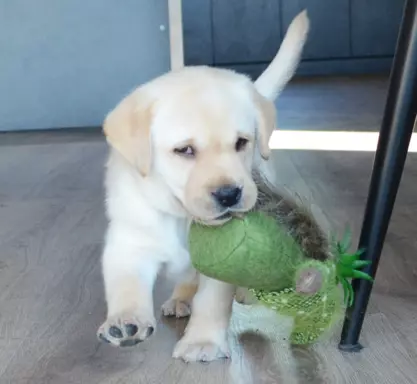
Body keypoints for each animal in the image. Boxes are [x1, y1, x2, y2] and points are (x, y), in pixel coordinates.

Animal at [96, 10, 308, 362]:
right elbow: (126, 285)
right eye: (185, 150)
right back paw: (180, 299)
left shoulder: (223, 258)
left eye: (241, 143)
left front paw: (202, 342)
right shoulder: (130, 243)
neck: (181, 216)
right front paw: (126, 321)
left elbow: (212, 302)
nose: (229, 194)